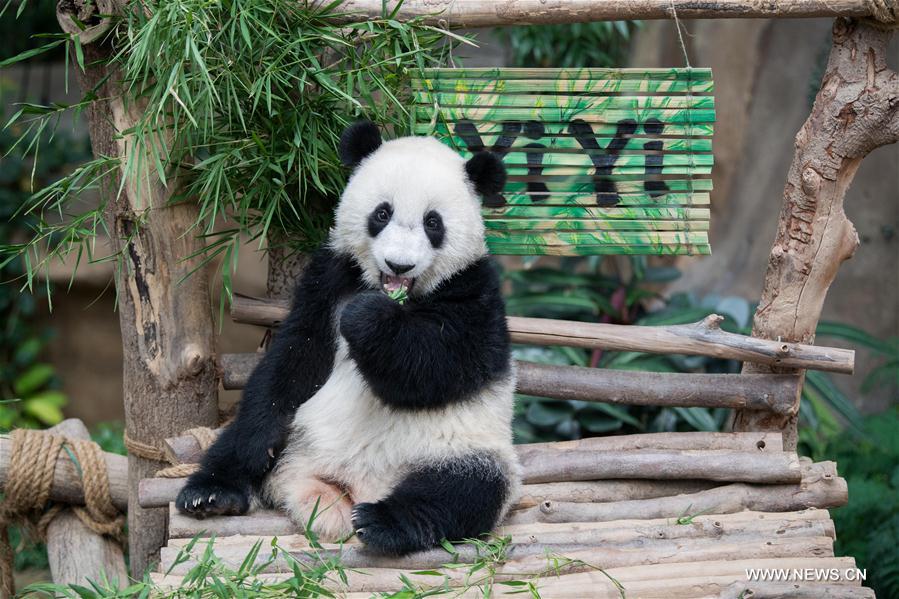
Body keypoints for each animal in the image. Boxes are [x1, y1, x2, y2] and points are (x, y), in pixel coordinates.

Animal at [177, 120, 521, 556]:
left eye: (433, 223)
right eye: (382, 213)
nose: (399, 264)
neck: (399, 295)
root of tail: (346, 489)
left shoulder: (475, 293)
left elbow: (438, 368)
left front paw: (368, 318)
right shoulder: (329, 279)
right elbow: (294, 358)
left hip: (465, 450)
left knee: (462, 491)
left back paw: (383, 522)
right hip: (297, 436)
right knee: (235, 443)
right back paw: (211, 493)